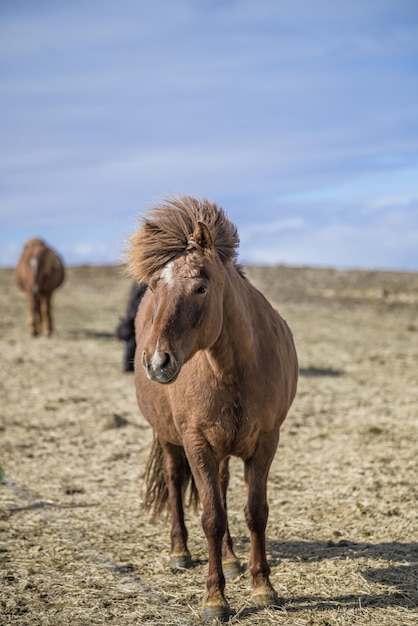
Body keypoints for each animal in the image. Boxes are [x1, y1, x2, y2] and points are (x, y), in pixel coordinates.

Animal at [126, 196, 298, 620]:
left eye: (200, 287)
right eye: (155, 286)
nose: (156, 362)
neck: (233, 368)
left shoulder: (265, 442)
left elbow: (255, 512)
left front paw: (262, 586)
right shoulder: (196, 443)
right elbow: (211, 517)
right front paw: (215, 600)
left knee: (220, 486)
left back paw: (233, 560)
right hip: (170, 440)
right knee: (174, 483)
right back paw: (180, 552)